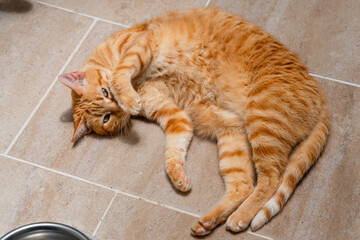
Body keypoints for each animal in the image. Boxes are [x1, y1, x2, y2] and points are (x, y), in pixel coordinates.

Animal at [58, 7, 330, 236]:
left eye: (106, 93)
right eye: (106, 118)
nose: (117, 107)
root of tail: (320, 93)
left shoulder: (142, 44)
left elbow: (121, 71)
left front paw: (126, 95)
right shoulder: (176, 117)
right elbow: (172, 153)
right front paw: (178, 175)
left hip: (262, 121)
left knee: (271, 179)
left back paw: (240, 217)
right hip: (232, 132)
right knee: (244, 185)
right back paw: (210, 221)